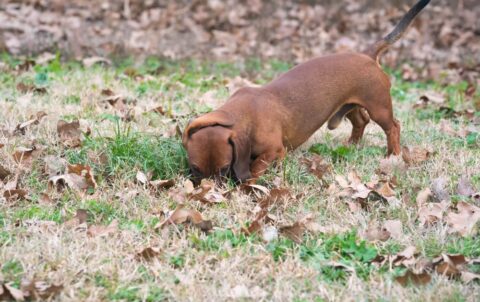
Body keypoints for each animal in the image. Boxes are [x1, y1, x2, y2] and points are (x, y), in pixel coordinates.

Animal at [184, 0, 432, 183]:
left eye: (225, 168)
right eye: (195, 169)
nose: (210, 192)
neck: (240, 115)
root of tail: (367, 55)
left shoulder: (273, 151)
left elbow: (256, 167)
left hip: (379, 106)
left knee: (393, 127)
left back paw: (393, 155)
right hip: (349, 105)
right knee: (361, 121)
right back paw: (352, 145)